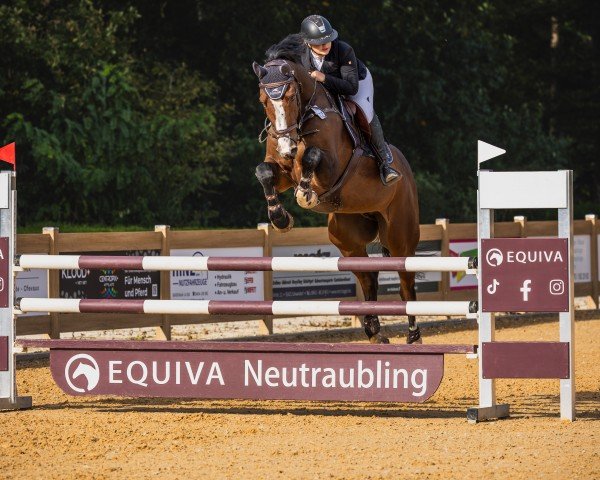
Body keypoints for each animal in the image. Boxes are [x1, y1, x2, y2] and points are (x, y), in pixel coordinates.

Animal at [251, 37, 420, 344]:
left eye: (290, 97)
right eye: (263, 100)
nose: (286, 146)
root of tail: (404, 167)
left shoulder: (331, 169)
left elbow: (312, 156)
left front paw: (305, 195)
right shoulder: (282, 171)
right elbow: (265, 171)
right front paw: (280, 218)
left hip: (400, 232)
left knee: (405, 282)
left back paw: (413, 336)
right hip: (347, 238)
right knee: (368, 277)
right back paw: (375, 332)